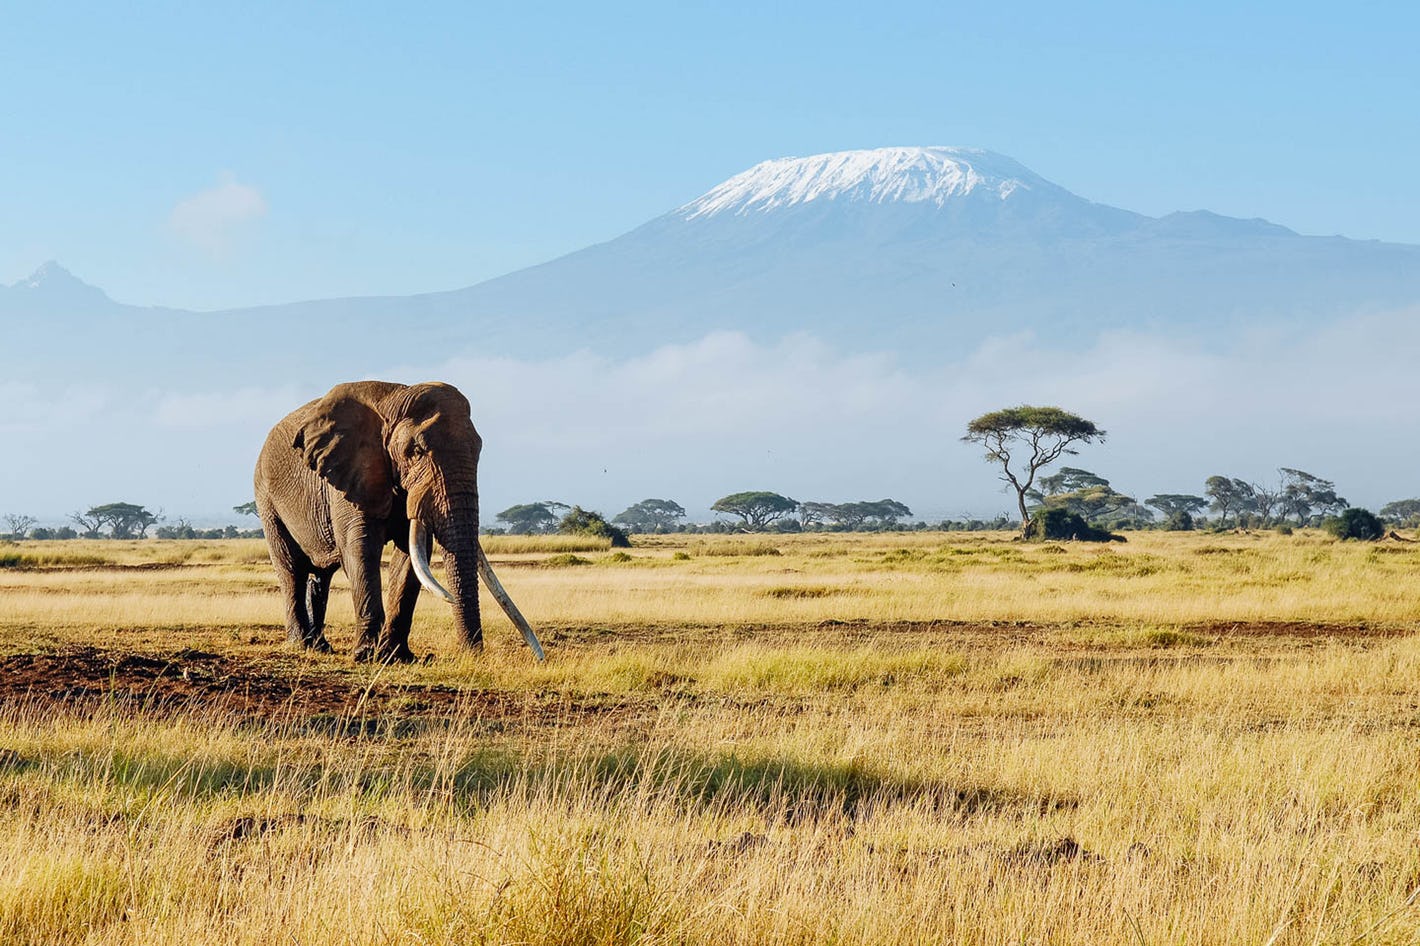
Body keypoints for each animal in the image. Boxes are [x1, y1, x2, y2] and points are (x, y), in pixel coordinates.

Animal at [255, 380, 542, 659]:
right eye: (416, 451)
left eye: (479, 450)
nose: (471, 654)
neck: (393, 400)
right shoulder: (352, 473)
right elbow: (361, 549)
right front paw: (366, 655)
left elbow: (411, 556)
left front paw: (397, 656)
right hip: (266, 498)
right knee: (291, 569)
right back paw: (300, 645)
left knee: (320, 576)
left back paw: (320, 647)